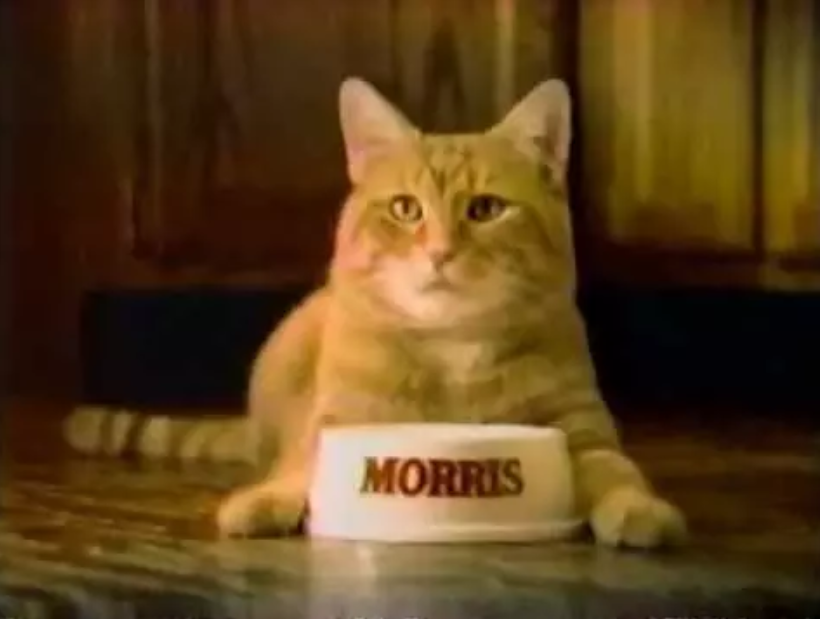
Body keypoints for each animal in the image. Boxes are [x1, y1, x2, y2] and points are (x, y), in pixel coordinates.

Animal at [65, 78, 684, 552]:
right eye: (405, 209)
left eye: (486, 209)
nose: (439, 252)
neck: (453, 349)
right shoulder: (332, 424)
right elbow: (301, 465)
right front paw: (268, 499)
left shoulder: (583, 430)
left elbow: (614, 470)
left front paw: (638, 507)